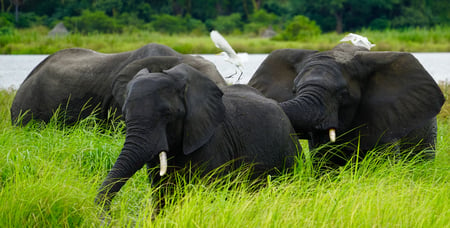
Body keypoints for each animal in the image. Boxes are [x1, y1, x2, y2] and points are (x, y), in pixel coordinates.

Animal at [95, 63, 298, 210]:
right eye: (124, 113)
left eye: (167, 114)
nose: (107, 216)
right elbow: (162, 195)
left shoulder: (213, 142)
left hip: (290, 151)